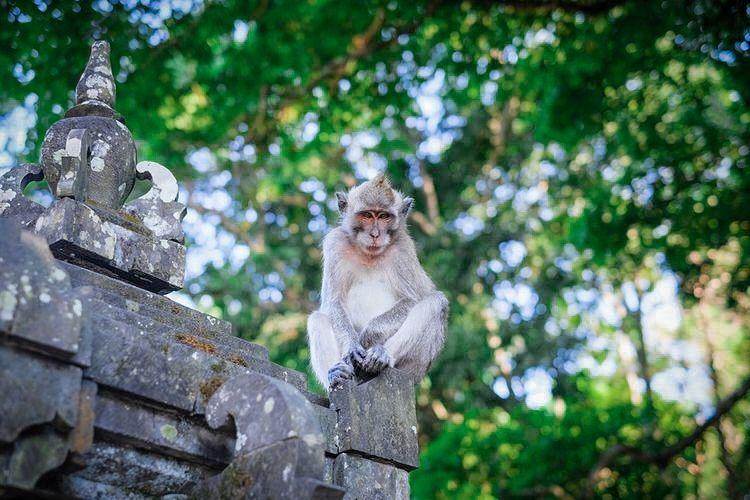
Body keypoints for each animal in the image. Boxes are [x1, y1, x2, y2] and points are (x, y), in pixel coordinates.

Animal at [308, 174, 450, 388]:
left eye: (384, 217)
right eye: (367, 215)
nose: (375, 234)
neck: (369, 255)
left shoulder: (403, 249)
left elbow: (412, 300)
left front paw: (368, 336)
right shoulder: (335, 243)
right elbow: (333, 302)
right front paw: (352, 345)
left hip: (414, 369)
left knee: (436, 303)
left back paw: (381, 356)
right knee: (317, 319)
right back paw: (337, 374)